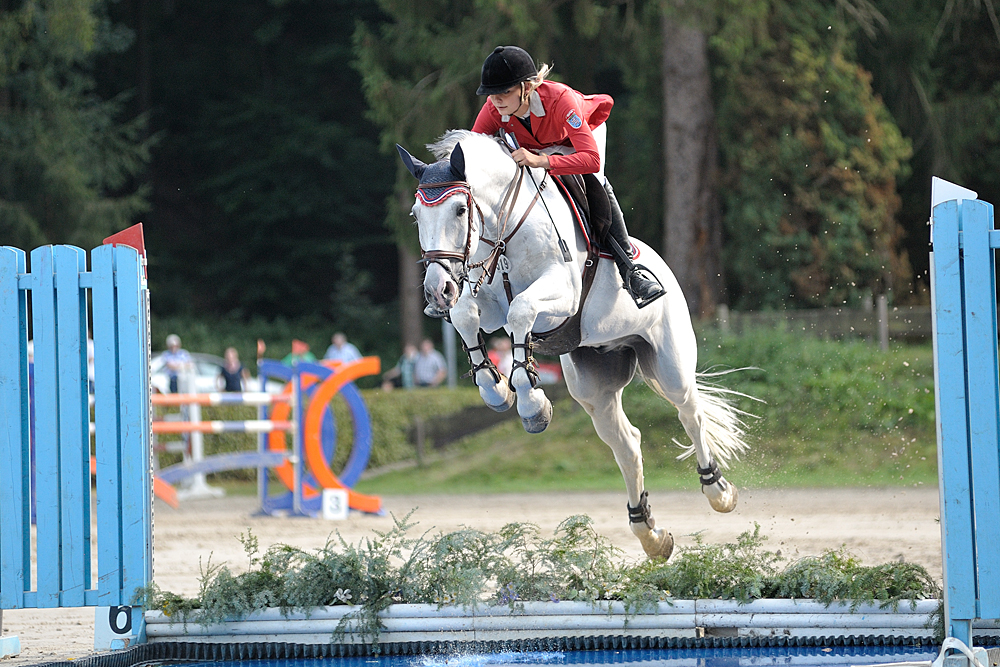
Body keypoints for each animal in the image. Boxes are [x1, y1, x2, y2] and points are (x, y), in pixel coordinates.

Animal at [394, 129, 748, 560]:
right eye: (416, 215)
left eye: (461, 210)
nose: (437, 290)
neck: (506, 228)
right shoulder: (486, 300)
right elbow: (467, 316)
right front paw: (497, 389)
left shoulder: (560, 296)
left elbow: (521, 311)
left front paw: (531, 402)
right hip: (594, 385)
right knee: (627, 444)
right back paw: (650, 534)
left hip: (670, 365)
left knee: (690, 412)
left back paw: (719, 491)